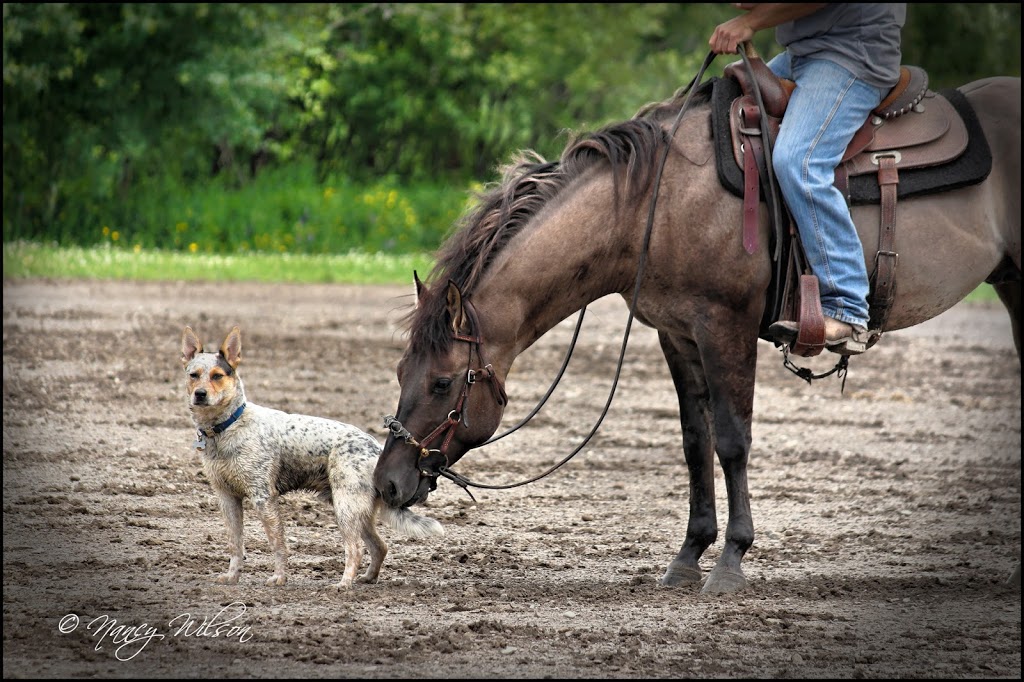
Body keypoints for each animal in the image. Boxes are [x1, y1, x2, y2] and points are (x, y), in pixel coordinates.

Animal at [181, 323, 444, 585]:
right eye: (193, 375)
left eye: (217, 375)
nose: (200, 394)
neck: (228, 427)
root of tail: (376, 447)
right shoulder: (227, 498)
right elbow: (235, 544)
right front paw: (232, 576)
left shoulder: (263, 498)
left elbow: (277, 544)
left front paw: (279, 578)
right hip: (355, 510)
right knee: (379, 546)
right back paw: (367, 579)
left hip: (345, 507)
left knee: (356, 549)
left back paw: (343, 584)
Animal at [372, 71, 1019, 593]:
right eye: (401, 371)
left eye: (443, 383)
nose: (388, 485)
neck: (653, 207)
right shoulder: (677, 334)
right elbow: (693, 441)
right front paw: (688, 557)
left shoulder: (724, 325)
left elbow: (732, 439)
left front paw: (731, 561)